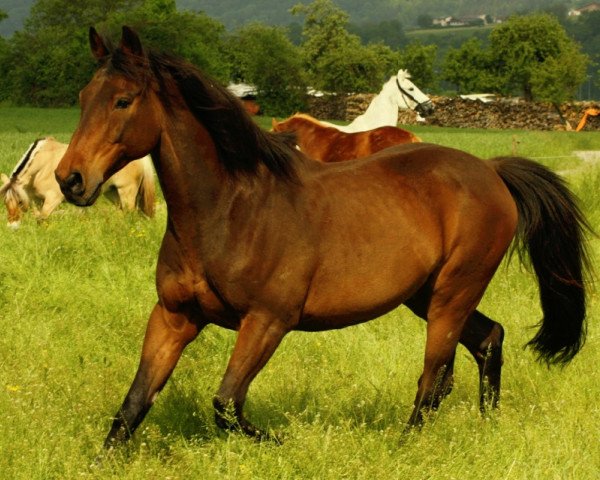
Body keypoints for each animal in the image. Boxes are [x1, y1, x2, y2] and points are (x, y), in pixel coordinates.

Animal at [0, 134, 155, 226]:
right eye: (5, 201)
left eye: (19, 202)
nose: (12, 227)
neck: (43, 163)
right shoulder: (37, 200)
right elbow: (39, 218)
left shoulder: (52, 199)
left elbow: (42, 218)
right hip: (113, 192)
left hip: (127, 191)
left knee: (130, 213)